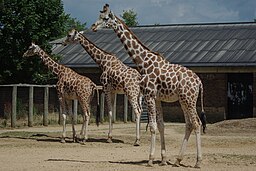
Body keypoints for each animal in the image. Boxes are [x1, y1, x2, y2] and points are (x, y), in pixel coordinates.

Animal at [91, 4, 205, 168]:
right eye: (99, 16)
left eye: (105, 18)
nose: (93, 26)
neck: (143, 63)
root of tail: (199, 82)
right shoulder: (157, 98)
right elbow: (161, 125)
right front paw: (163, 159)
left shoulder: (149, 96)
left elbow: (152, 127)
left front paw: (150, 159)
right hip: (184, 100)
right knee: (189, 123)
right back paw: (177, 160)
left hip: (189, 99)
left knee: (196, 123)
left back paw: (197, 161)